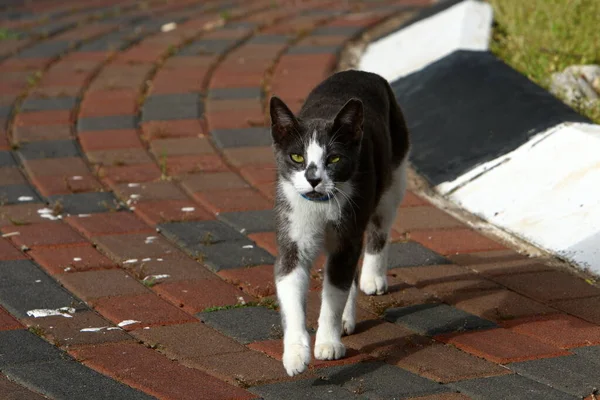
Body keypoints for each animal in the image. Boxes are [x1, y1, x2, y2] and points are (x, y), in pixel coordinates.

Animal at [270, 69, 410, 376]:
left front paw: (328, 343)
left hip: (393, 175)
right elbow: (291, 289)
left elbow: (334, 294)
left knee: (378, 230)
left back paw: (372, 278)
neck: (320, 206)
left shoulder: (347, 235)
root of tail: (362, 72)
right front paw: (295, 354)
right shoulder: (292, 232)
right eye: (297, 157)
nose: (313, 179)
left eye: (334, 158)